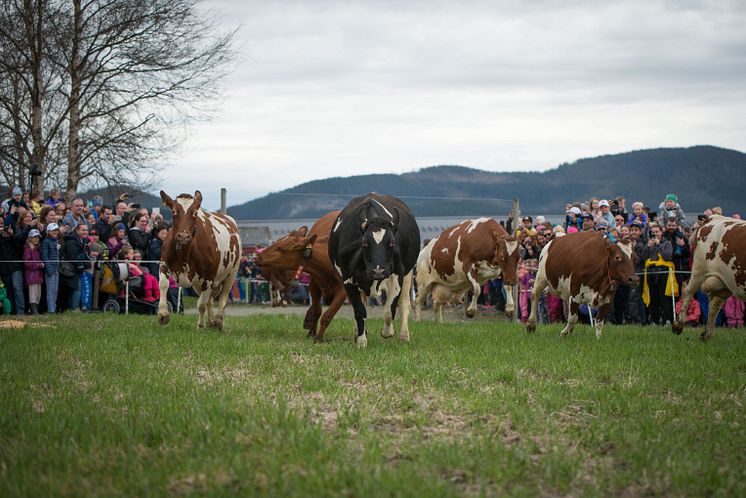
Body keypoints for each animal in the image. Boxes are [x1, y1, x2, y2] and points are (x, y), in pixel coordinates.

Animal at [158, 189, 241, 328]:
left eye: (195, 213)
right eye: (173, 211)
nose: (183, 236)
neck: (184, 255)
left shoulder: (209, 276)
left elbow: (201, 304)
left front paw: (201, 326)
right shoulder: (164, 264)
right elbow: (163, 284)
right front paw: (163, 314)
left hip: (231, 274)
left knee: (223, 300)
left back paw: (218, 321)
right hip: (198, 283)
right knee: (210, 301)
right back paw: (211, 322)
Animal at [253, 210, 346, 342]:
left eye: (280, 249)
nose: (256, 256)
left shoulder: (343, 290)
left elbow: (327, 315)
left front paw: (319, 338)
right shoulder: (313, 285)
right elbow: (317, 310)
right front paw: (311, 333)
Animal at [328, 193, 422, 348]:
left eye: (392, 242)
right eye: (364, 242)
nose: (378, 271)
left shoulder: (397, 275)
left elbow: (389, 310)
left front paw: (387, 332)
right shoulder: (347, 278)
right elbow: (359, 310)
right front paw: (361, 340)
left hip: (408, 274)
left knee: (404, 304)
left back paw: (404, 336)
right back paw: (358, 333)